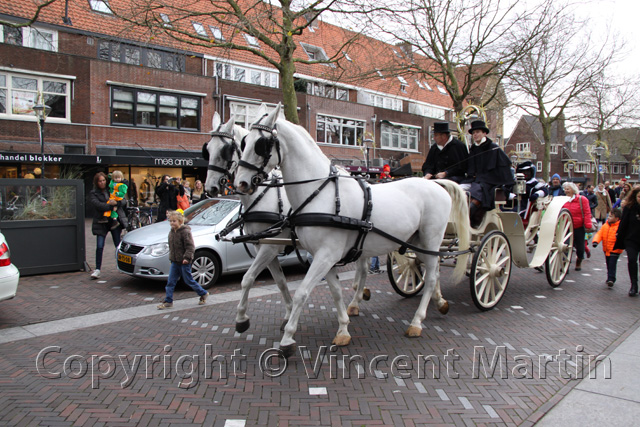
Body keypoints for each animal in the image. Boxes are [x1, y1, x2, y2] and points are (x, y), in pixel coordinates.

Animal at [202, 113, 372, 334]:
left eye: (226, 150)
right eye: (207, 149)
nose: (210, 188)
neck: (262, 196)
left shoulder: (269, 248)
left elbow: (247, 278)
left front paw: (241, 318)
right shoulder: (264, 247)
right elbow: (280, 282)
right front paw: (288, 313)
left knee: (364, 266)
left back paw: (356, 300)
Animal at [235, 103, 470, 358]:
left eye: (261, 144)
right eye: (244, 143)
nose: (240, 183)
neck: (321, 194)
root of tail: (435, 183)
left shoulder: (323, 255)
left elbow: (302, 292)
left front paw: (287, 339)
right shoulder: (323, 257)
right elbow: (336, 291)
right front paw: (343, 329)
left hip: (431, 239)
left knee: (431, 277)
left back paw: (417, 322)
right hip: (417, 242)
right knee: (431, 272)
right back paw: (440, 303)